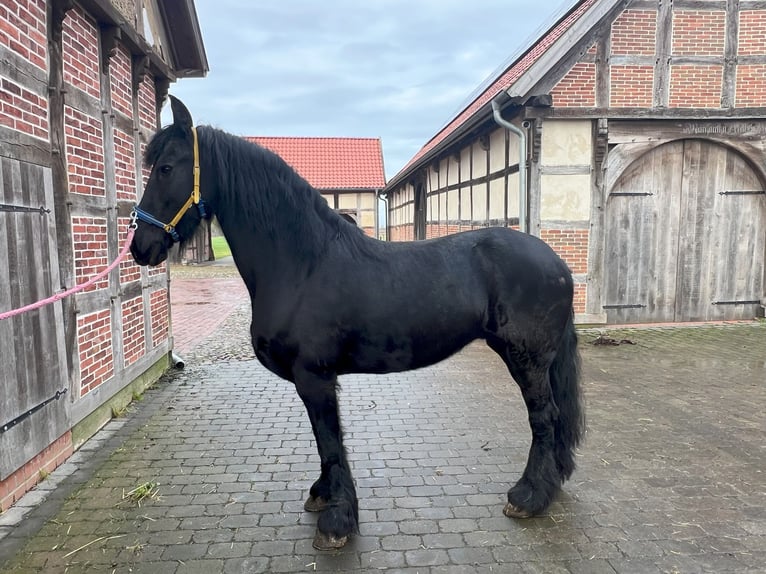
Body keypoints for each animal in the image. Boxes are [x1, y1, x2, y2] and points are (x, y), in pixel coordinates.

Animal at [134, 97, 588, 552]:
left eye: (166, 167)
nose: (141, 248)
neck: (303, 263)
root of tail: (557, 263)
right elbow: (324, 441)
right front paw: (323, 495)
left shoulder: (314, 377)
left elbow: (330, 440)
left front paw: (337, 520)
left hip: (526, 359)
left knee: (544, 418)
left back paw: (529, 496)